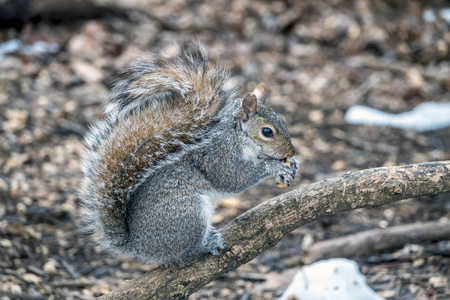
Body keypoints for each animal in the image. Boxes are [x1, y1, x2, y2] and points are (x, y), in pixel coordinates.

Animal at [81, 44, 298, 264]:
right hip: (188, 214)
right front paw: (273, 167)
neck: (237, 136)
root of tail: (137, 245)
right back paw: (206, 244)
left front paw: (292, 164)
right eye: (267, 132)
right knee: (183, 253)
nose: (291, 151)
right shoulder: (219, 156)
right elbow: (234, 178)